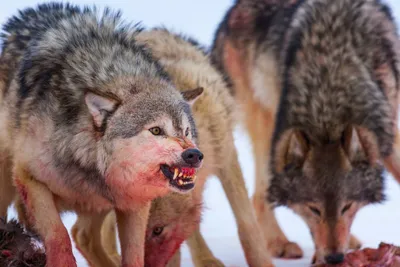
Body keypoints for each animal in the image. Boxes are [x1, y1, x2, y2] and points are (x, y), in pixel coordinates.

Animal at [0, 2, 203, 267]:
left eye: (186, 131)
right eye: (157, 130)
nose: (194, 155)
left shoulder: (134, 204)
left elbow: (134, 254)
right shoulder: (28, 176)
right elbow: (58, 234)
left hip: (100, 206)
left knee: (83, 235)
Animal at [209, 0, 400, 264]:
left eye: (347, 207)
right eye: (313, 209)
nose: (335, 258)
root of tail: (232, 11)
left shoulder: (390, 128)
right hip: (268, 126)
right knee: (259, 196)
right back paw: (280, 243)